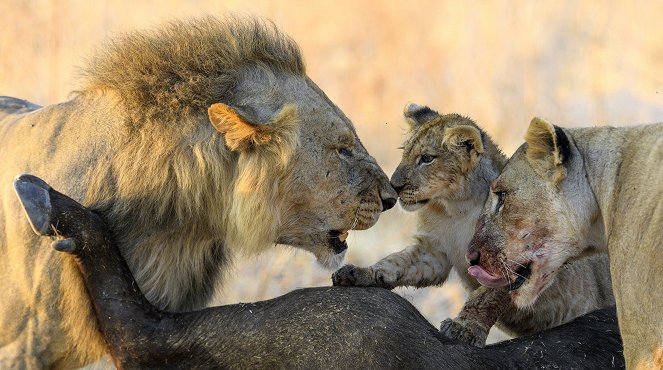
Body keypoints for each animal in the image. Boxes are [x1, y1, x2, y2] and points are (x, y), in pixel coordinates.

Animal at [334, 105, 616, 346]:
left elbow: (485, 297)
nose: (395, 185)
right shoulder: (433, 252)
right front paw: (361, 273)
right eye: (405, 153)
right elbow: (396, 262)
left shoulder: (514, 256)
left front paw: (464, 328)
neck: (456, 207)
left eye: (427, 158)